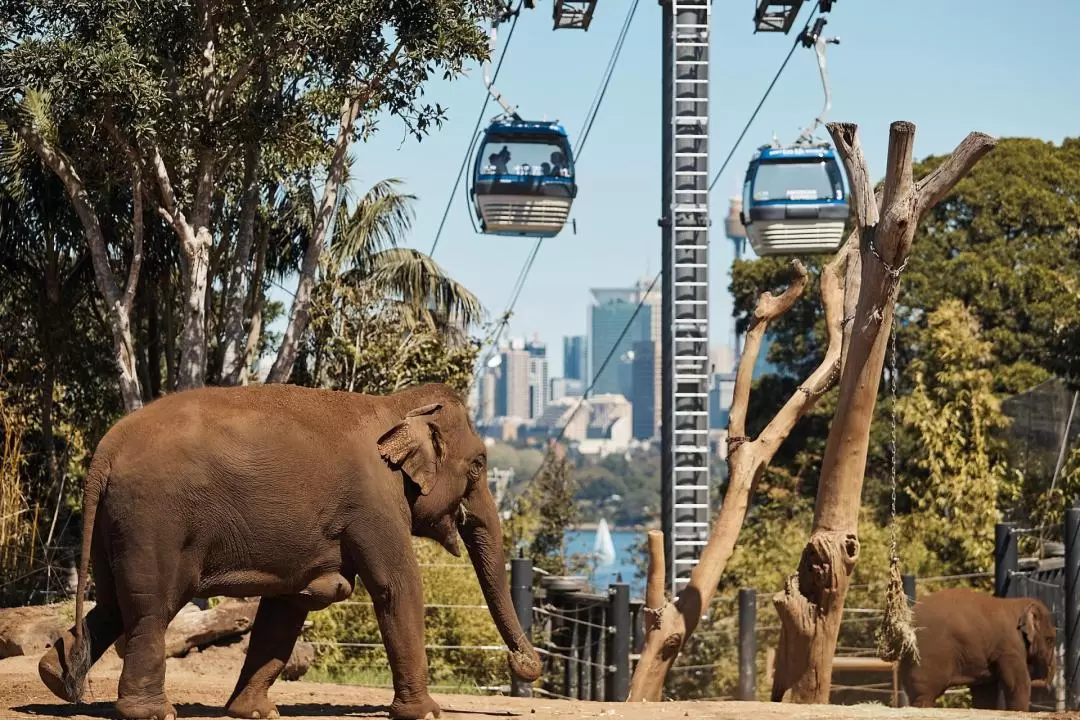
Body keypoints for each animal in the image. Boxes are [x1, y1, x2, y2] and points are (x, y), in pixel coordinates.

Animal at [38, 382, 544, 720]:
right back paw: (152, 712)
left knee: (112, 603)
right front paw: (426, 713)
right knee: (151, 608)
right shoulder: (375, 502)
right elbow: (398, 588)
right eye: (478, 464)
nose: (524, 663)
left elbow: (287, 605)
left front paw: (253, 713)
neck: (395, 404)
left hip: (116, 523)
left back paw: (53, 677)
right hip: (153, 520)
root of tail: (103, 452)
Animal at [898, 587, 1058, 712]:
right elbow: (1018, 683)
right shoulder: (1010, 646)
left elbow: (985, 690)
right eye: (1050, 640)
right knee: (925, 695)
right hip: (928, 658)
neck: (1017, 603)